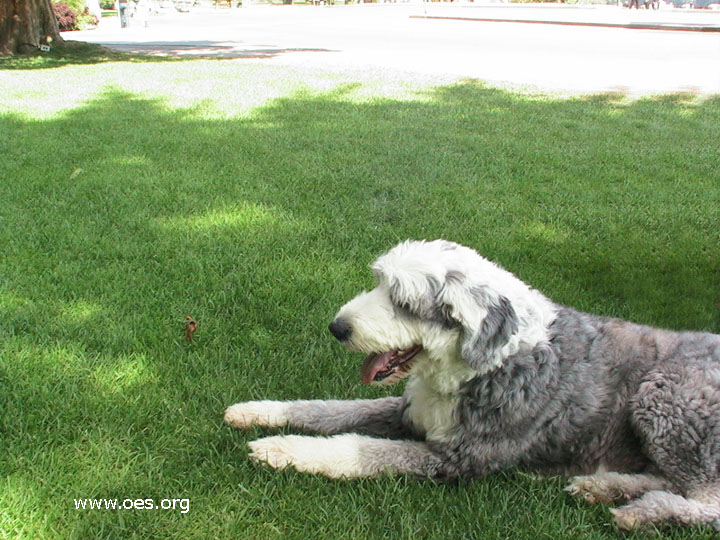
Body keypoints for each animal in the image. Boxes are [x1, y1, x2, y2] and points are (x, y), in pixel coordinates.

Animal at [225, 240, 720, 532]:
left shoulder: (460, 457)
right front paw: (257, 412)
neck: (479, 366)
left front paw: (281, 449)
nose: (338, 327)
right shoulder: (407, 409)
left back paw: (638, 512)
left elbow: (361, 449)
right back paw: (604, 487)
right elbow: (328, 409)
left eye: (404, 302)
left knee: (706, 502)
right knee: (667, 479)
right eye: (380, 283)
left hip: (666, 397)